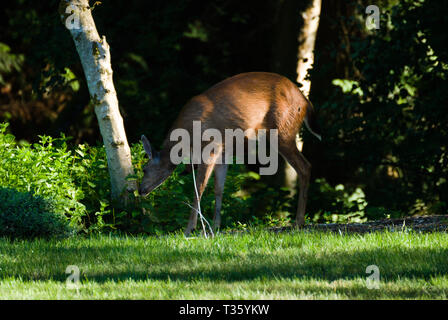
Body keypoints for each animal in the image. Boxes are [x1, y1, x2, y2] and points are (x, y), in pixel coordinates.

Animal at [140, 72, 322, 235]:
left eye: (144, 169)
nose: (140, 190)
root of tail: (305, 101)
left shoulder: (211, 147)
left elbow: (199, 188)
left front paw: (189, 229)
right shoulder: (223, 154)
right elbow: (219, 189)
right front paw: (215, 227)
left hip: (282, 130)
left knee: (305, 166)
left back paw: (298, 222)